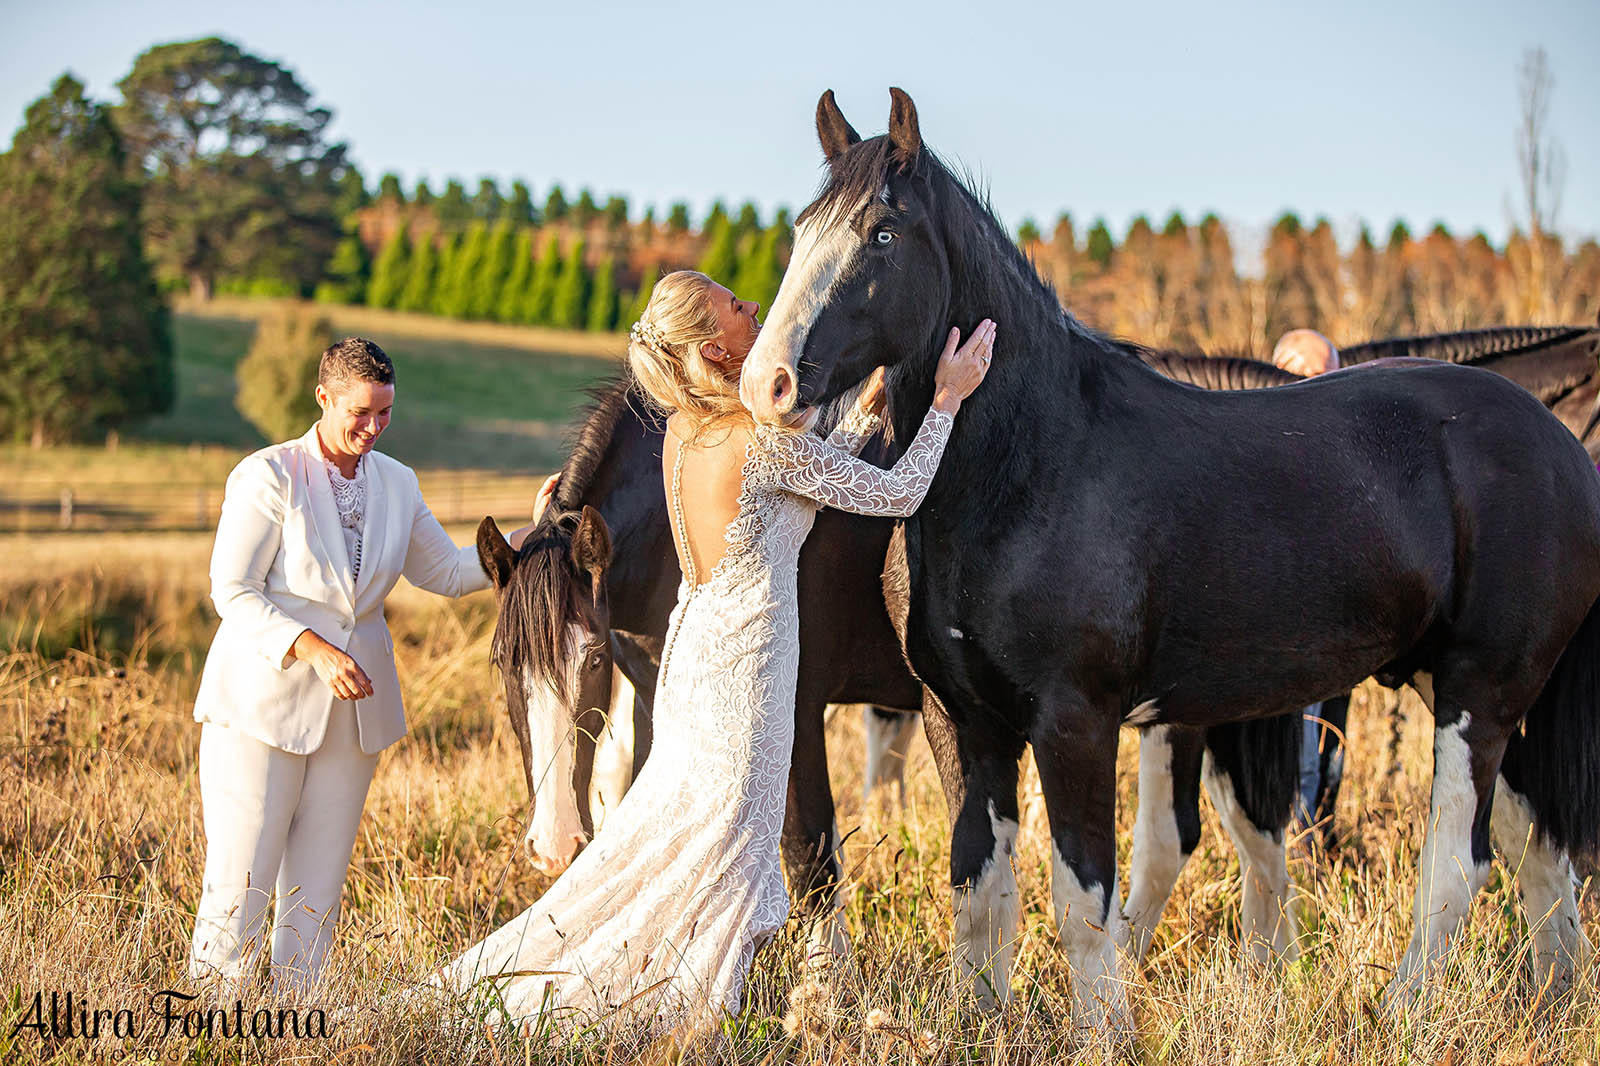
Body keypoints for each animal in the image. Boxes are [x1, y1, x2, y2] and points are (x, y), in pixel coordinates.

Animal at [742, 91, 1600, 1030]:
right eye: (801, 230)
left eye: (882, 234)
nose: (767, 383)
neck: (1031, 464)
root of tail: (1561, 445)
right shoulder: (961, 720)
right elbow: (978, 891)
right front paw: (978, 1024)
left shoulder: (1075, 720)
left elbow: (1082, 898)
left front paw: (1102, 1030)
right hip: (1450, 683)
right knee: (1536, 847)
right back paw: (1555, 1002)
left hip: (1481, 693)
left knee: (1461, 859)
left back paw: (1402, 1008)